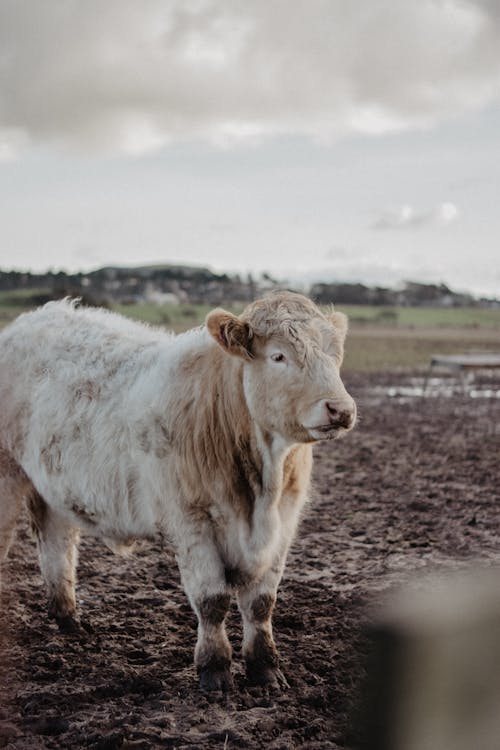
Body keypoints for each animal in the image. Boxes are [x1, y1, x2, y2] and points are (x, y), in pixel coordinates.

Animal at [0, 292, 356, 692]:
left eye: (335, 354)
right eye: (278, 356)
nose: (341, 409)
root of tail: (36, 317)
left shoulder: (284, 523)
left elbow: (261, 603)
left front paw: (265, 669)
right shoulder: (190, 521)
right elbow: (212, 601)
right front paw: (215, 670)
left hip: (54, 489)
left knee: (57, 544)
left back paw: (69, 620)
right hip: (6, 474)